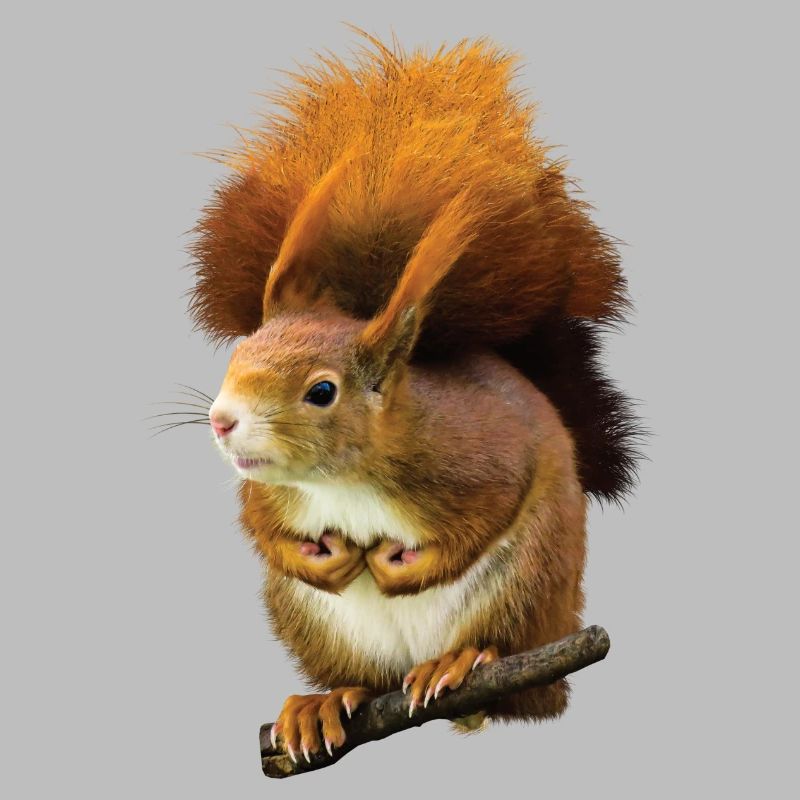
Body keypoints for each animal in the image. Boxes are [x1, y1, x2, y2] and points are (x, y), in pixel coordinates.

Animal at [188, 29, 641, 762]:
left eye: (322, 391)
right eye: (238, 356)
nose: (222, 422)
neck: (342, 479)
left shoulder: (479, 457)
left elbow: (485, 514)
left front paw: (399, 567)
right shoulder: (267, 492)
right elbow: (260, 526)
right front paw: (322, 559)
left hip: (525, 589)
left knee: (510, 670)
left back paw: (459, 664)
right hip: (315, 626)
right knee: (365, 679)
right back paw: (325, 702)